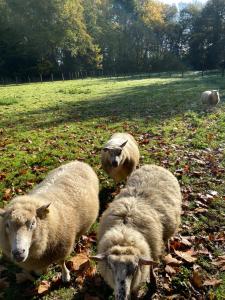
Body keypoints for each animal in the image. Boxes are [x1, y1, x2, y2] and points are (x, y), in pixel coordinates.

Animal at [92, 165, 182, 298]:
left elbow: (150, 269)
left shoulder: (152, 252)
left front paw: (153, 284)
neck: (124, 233)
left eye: (134, 268)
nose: (121, 296)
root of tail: (154, 165)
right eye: (110, 267)